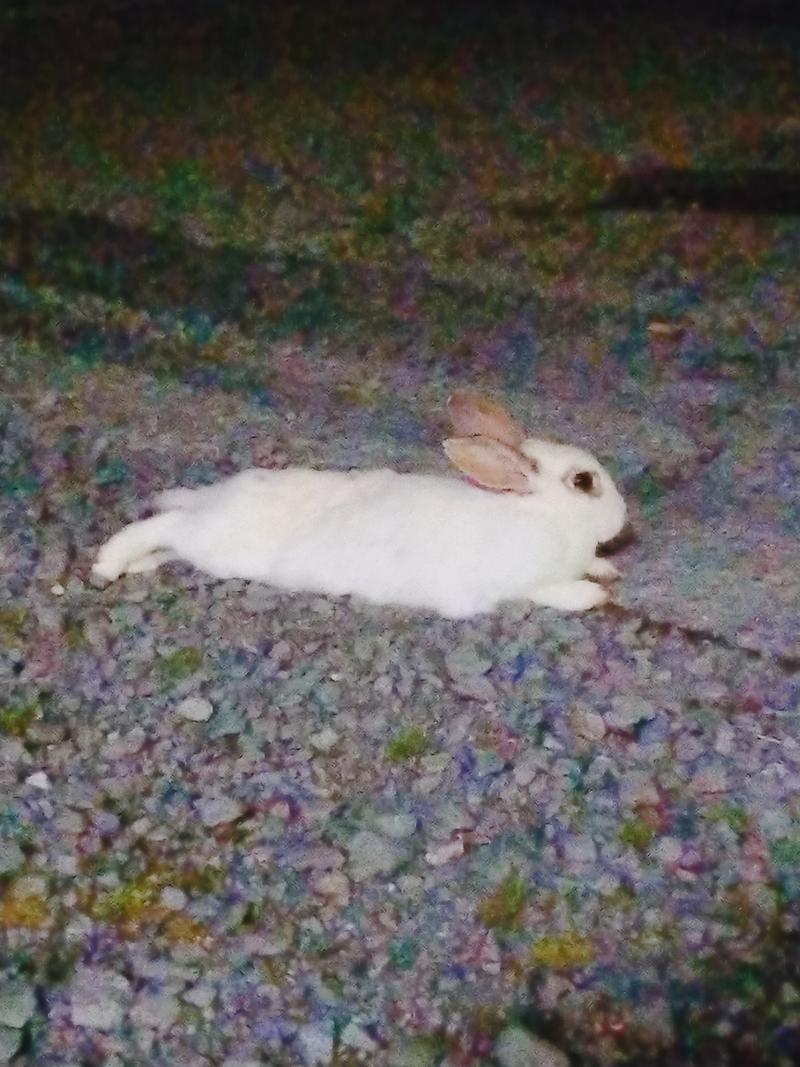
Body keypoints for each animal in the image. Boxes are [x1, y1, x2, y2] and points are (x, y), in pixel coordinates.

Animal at [90, 394, 631, 618]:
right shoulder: (524, 580)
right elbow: (557, 591)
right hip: (216, 543)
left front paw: (608, 571)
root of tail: (213, 500)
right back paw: (106, 566)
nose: (623, 520)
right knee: (162, 526)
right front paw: (594, 596)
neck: (545, 516)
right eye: (584, 482)